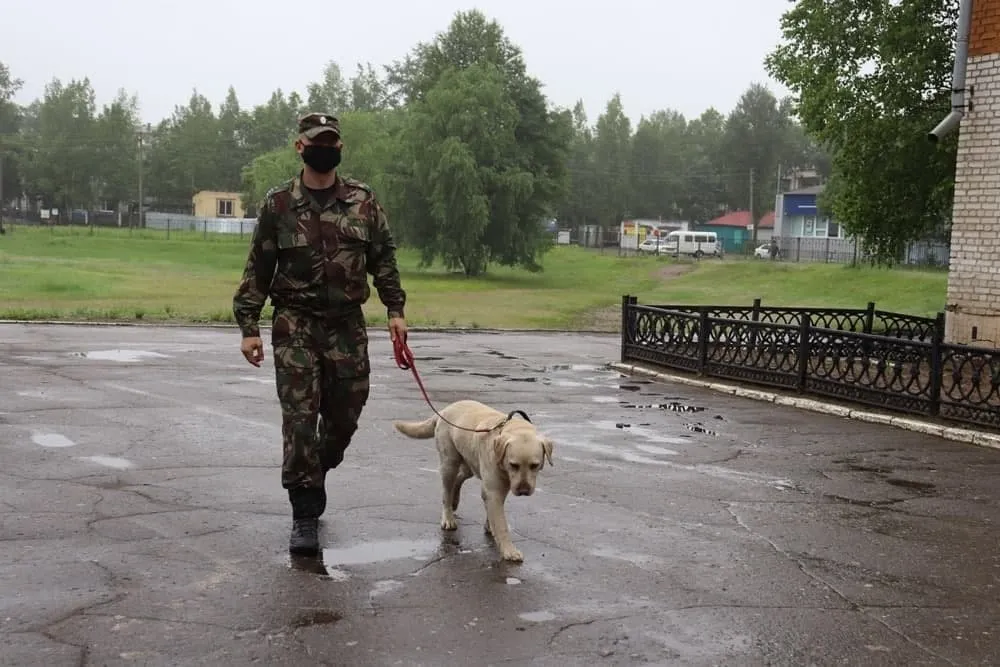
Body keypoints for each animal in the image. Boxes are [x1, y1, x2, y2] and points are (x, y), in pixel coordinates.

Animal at [392, 402, 556, 564]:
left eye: (535, 465)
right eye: (513, 465)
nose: (523, 491)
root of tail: (444, 410)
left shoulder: (499, 488)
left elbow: (492, 513)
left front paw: (490, 526)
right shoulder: (494, 491)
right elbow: (502, 525)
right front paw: (509, 551)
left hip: (469, 463)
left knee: (459, 478)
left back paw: (455, 501)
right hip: (449, 463)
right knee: (446, 492)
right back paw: (448, 517)